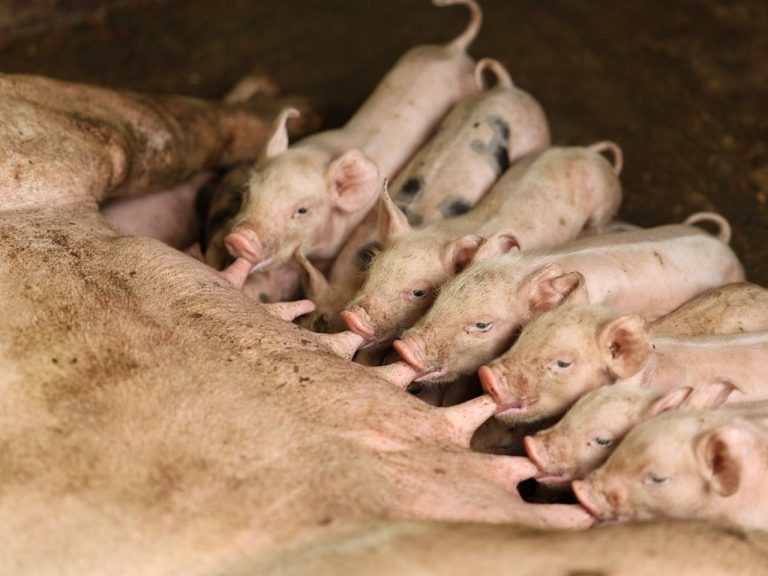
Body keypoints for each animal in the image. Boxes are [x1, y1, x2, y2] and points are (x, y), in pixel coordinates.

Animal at [342, 142, 623, 346]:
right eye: (372, 268)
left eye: (419, 292)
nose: (352, 317)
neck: (444, 231)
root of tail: (588, 152)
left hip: (605, 203)